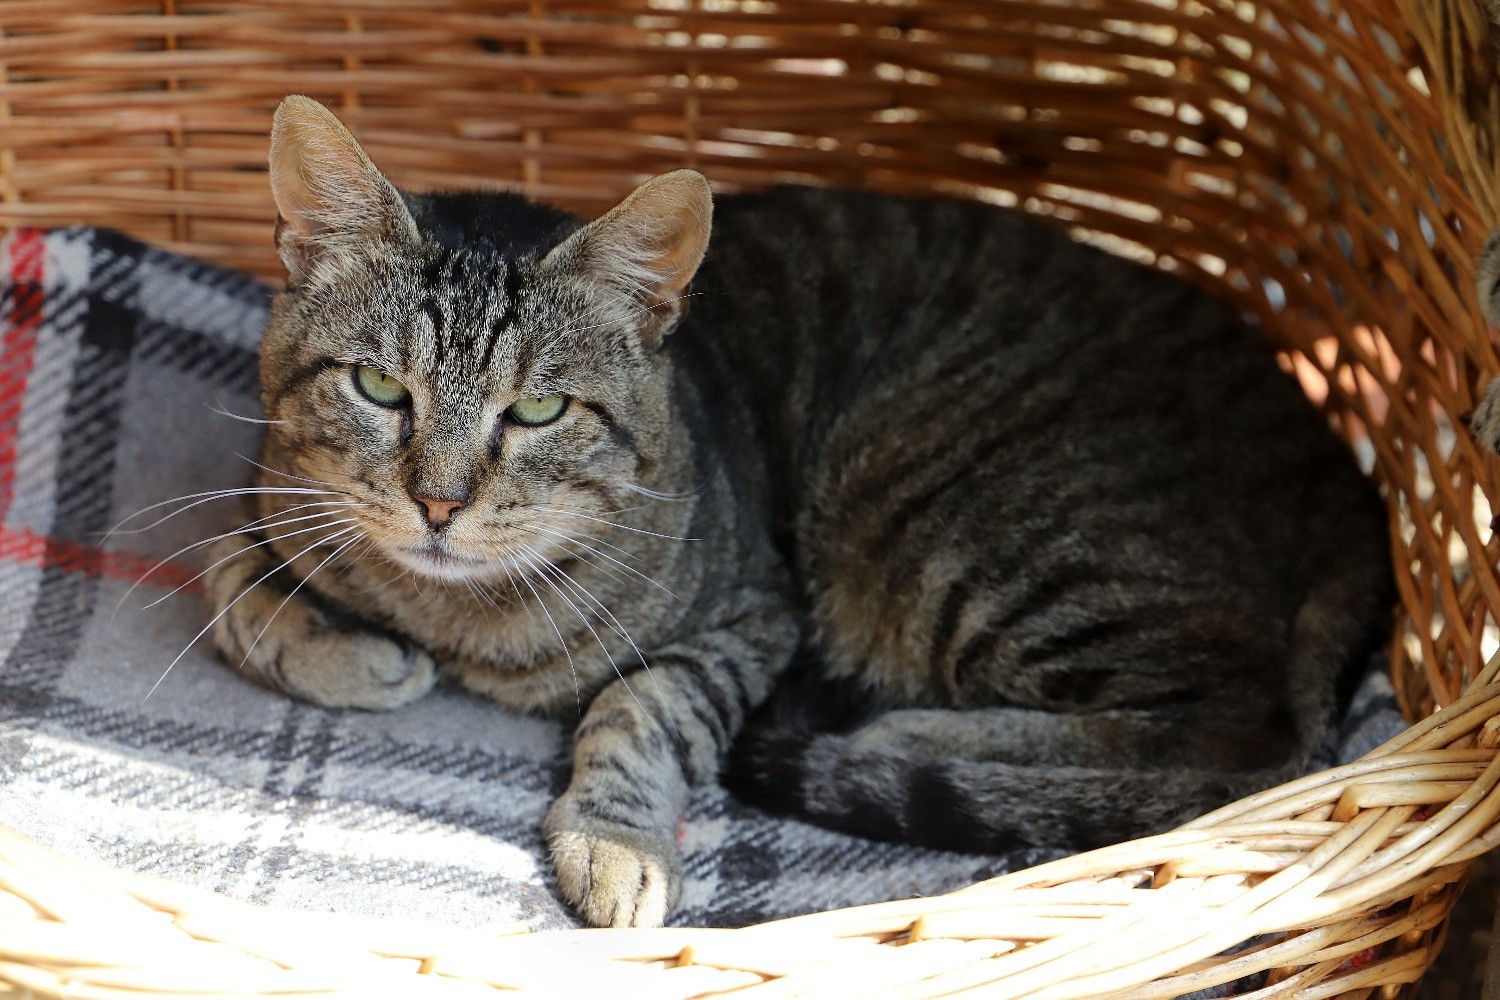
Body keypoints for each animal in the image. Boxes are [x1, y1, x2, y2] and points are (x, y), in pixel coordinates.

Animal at [202, 95, 1392, 929]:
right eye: (379, 388)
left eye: (538, 409)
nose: (440, 501)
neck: (458, 619)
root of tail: (1345, 477)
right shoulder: (256, 491)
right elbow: (229, 587)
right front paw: (354, 655)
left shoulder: (754, 617)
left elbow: (642, 708)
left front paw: (618, 842)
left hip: (949, 517)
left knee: (1239, 725)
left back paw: (904, 733)